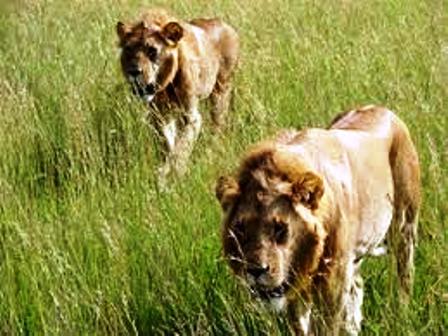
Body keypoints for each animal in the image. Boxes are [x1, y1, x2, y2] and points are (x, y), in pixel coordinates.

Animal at [117, 8, 240, 181]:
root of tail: (223, 23)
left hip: (221, 90)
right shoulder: (160, 115)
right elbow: (168, 144)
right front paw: (163, 172)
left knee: (218, 126)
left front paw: (174, 173)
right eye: (128, 50)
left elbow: (181, 148)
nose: (134, 72)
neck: (165, 85)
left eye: (152, 50)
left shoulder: (190, 117)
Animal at [216, 105, 420, 336]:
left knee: (405, 276)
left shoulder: (334, 280)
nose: (255, 271)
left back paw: (401, 313)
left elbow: (324, 326)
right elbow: (299, 325)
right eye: (240, 229)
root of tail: (383, 109)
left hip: (405, 227)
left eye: (280, 229)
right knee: (357, 288)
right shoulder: (296, 287)